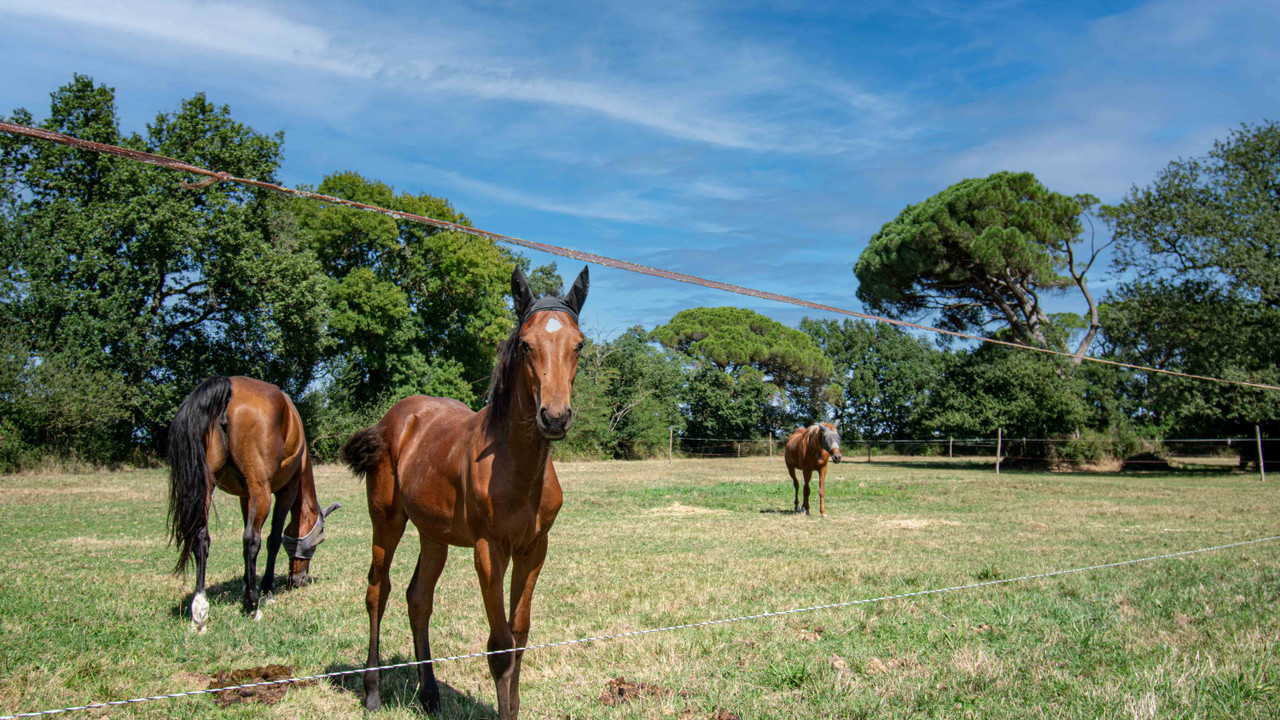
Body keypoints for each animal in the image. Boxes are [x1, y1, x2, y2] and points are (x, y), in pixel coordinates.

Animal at [167, 375, 341, 633]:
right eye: (318, 543)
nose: (299, 580)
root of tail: (228, 386)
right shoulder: (285, 490)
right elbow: (273, 539)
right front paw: (264, 590)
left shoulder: (245, 495)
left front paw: (248, 584)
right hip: (262, 489)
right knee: (252, 540)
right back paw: (252, 606)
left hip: (206, 483)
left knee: (201, 537)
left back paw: (200, 608)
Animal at [340, 265, 589, 719]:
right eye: (525, 344)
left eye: (578, 344)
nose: (555, 417)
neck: (517, 468)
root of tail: (391, 421)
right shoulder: (489, 551)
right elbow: (500, 646)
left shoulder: (534, 550)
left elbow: (520, 633)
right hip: (386, 521)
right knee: (377, 592)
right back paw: (372, 691)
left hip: (433, 535)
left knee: (418, 598)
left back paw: (430, 694)